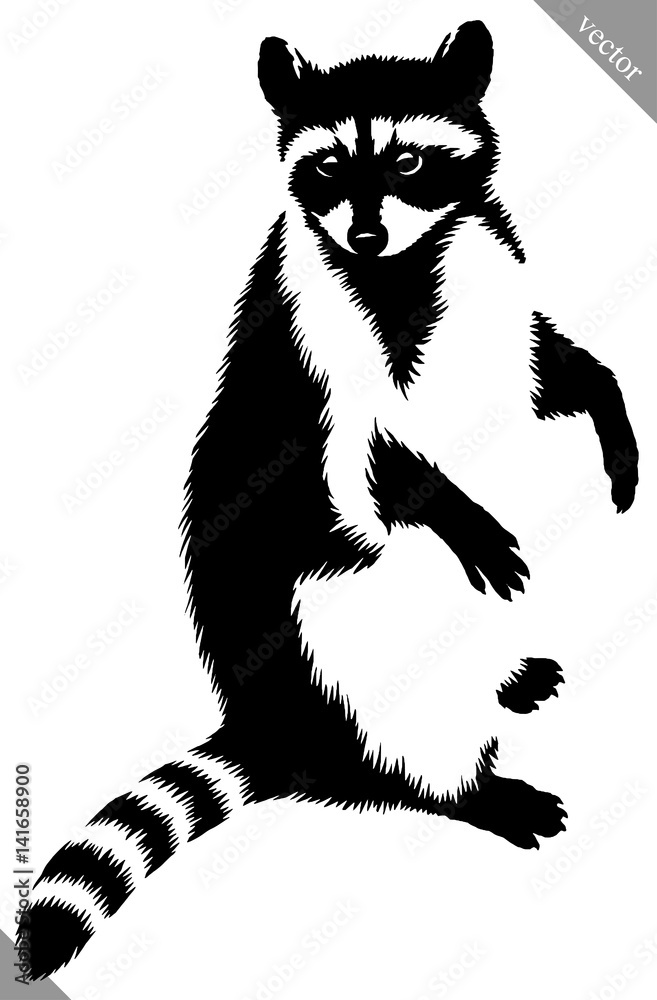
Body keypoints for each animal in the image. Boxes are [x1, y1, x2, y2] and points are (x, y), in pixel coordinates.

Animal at [22, 21, 638, 980]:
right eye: (327, 167)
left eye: (408, 161)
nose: (366, 231)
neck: (403, 271)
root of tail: (287, 727)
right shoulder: (313, 352)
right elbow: (369, 463)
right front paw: (455, 506)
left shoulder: (493, 282)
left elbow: (554, 375)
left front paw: (613, 421)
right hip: (337, 625)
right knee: (389, 671)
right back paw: (462, 786)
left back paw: (510, 679)